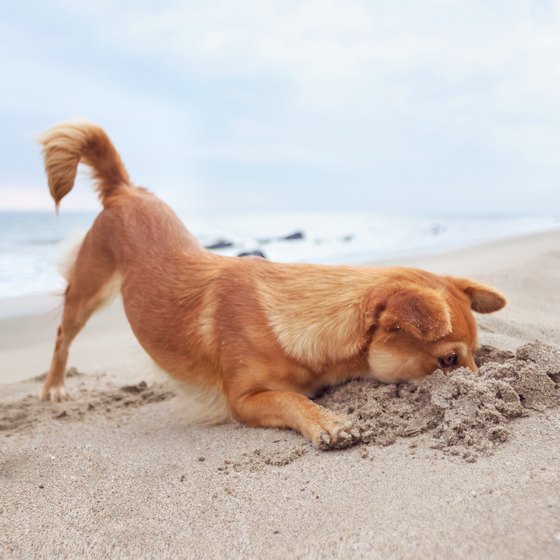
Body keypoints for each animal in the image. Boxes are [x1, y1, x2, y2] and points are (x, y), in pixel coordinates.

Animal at [37, 121, 506, 450]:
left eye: (476, 356)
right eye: (448, 360)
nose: (486, 393)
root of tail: (124, 191)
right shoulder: (243, 400)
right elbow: (291, 399)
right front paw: (328, 422)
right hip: (88, 291)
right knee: (61, 334)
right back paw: (54, 386)